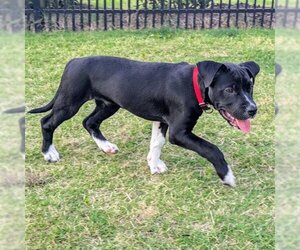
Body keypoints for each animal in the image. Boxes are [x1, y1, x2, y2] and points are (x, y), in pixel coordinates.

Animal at [29, 56, 260, 186]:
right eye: (229, 90)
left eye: (249, 87)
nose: (252, 109)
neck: (195, 83)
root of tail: (73, 62)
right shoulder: (179, 132)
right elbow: (211, 149)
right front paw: (227, 176)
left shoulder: (162, 121)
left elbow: (157, 142)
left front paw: (154, 164)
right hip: (70, 102)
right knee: (47, 122)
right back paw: (49, 153)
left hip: (109, 104)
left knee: (89, 122)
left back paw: (106, 147)